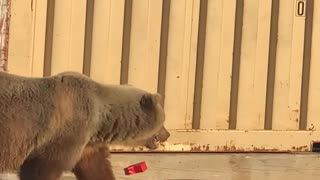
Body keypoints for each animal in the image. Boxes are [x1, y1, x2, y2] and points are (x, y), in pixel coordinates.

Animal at [0, 71, 170, 179]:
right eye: (163, 120)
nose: (167, 134)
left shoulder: (88, 144)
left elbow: (96, 168)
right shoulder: (67, 131)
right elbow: (44, 167)